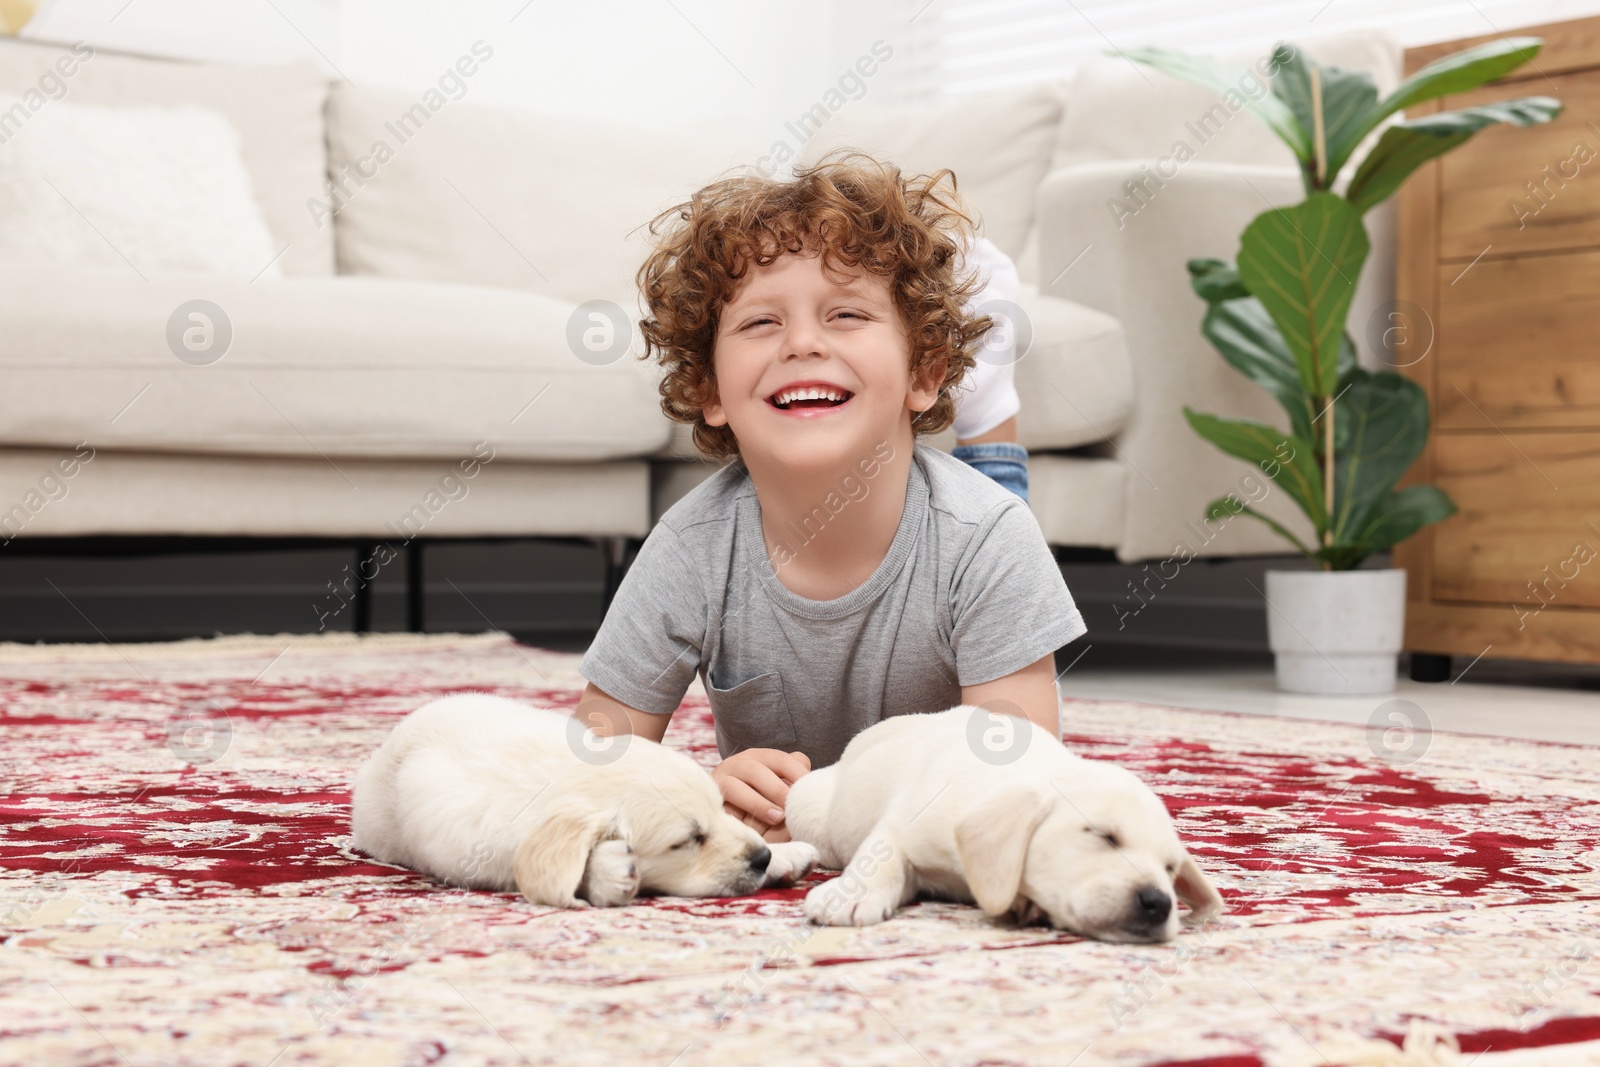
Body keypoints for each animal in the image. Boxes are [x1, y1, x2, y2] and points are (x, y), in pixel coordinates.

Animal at [787, 710, 1222, 940]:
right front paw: (851, 895)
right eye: (1103, 836)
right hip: (805, 804)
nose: (1159, 902)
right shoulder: (908, 821)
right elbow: (881, 854)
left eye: (1171, 868)